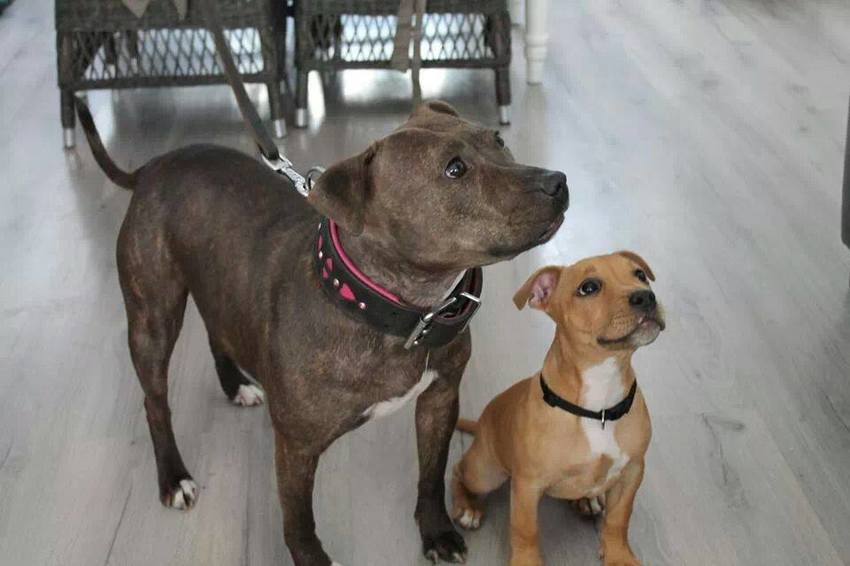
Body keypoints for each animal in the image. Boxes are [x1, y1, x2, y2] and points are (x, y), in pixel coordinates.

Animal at [75, 99, 568, 565]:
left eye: (498, 141)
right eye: (455, 169)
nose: (557, 181)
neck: (393, 311)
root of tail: (152, 167)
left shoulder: (439, 398)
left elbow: (431, 475)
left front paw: (437, 533)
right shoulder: (296, 447)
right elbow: (298, 518)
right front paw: (312, 557)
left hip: (218, 283)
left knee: (219, 329)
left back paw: (235, 385)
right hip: (152, 319)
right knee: (154, 401)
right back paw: (173, 476)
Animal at [450, 252, 664, 566]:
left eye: (640, 275)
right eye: (589, 288)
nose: (646, 296)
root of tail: (481, 423)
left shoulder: (633, 470)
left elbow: (619, 519)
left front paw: (619, 555)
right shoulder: (527, 485)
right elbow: (525, 530)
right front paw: (526, 561)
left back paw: (587, 499)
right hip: (486, 472)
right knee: (459, 471)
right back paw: (467, 507)